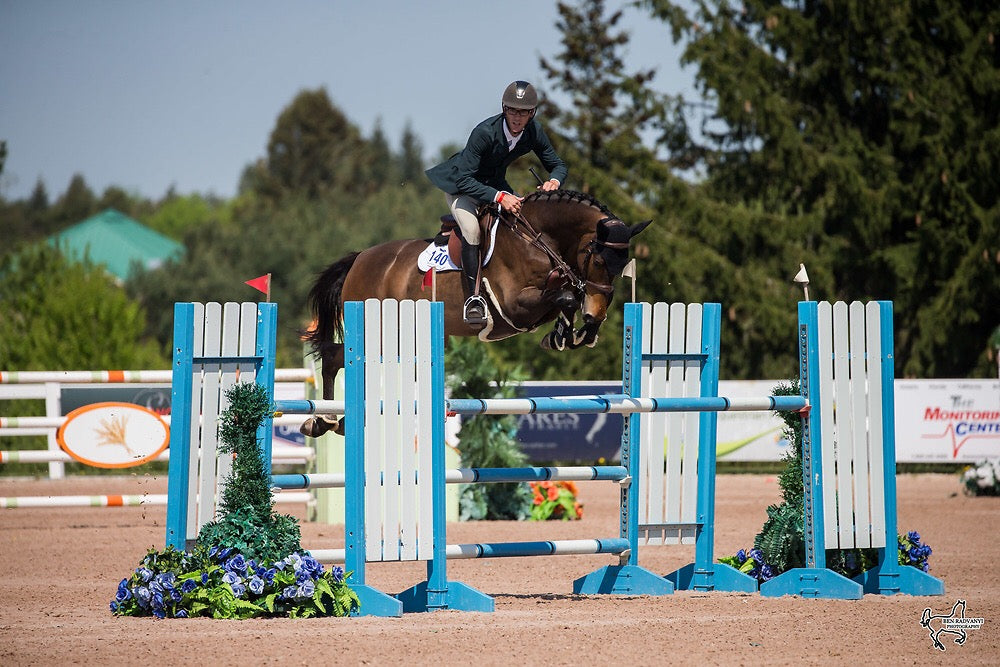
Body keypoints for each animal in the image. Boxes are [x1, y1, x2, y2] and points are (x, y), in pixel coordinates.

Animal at [300, 189, 652, 438]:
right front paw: (569, 332)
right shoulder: (514, 306)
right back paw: (322, 420)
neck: (537, 239)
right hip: (382, 329)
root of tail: (359, 259)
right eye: (599, 260)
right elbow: (565, 297)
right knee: (333, 357)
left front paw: (568, 335)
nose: (596, 315)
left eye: (623, 265)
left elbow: (566, 297)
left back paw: (336, 422)